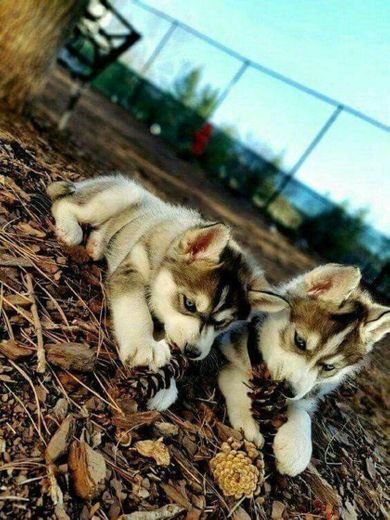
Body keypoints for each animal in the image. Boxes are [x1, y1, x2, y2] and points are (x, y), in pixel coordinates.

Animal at [47, 175, 268, 386]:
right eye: (189, 304)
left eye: (222, 324)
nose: (193, 352)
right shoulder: (133, 268)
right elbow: (136, 309)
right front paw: (143, 344)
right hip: (118, 197)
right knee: (65, 203)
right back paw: (70, 228)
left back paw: (97, 243)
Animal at [218, 264, 388, 476]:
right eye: (299, 341)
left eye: (329, 367)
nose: (288, 390)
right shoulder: (230, 348)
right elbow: (238, 381)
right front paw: (248, 422)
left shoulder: (306, 395)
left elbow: (303, 412)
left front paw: (296, 449)